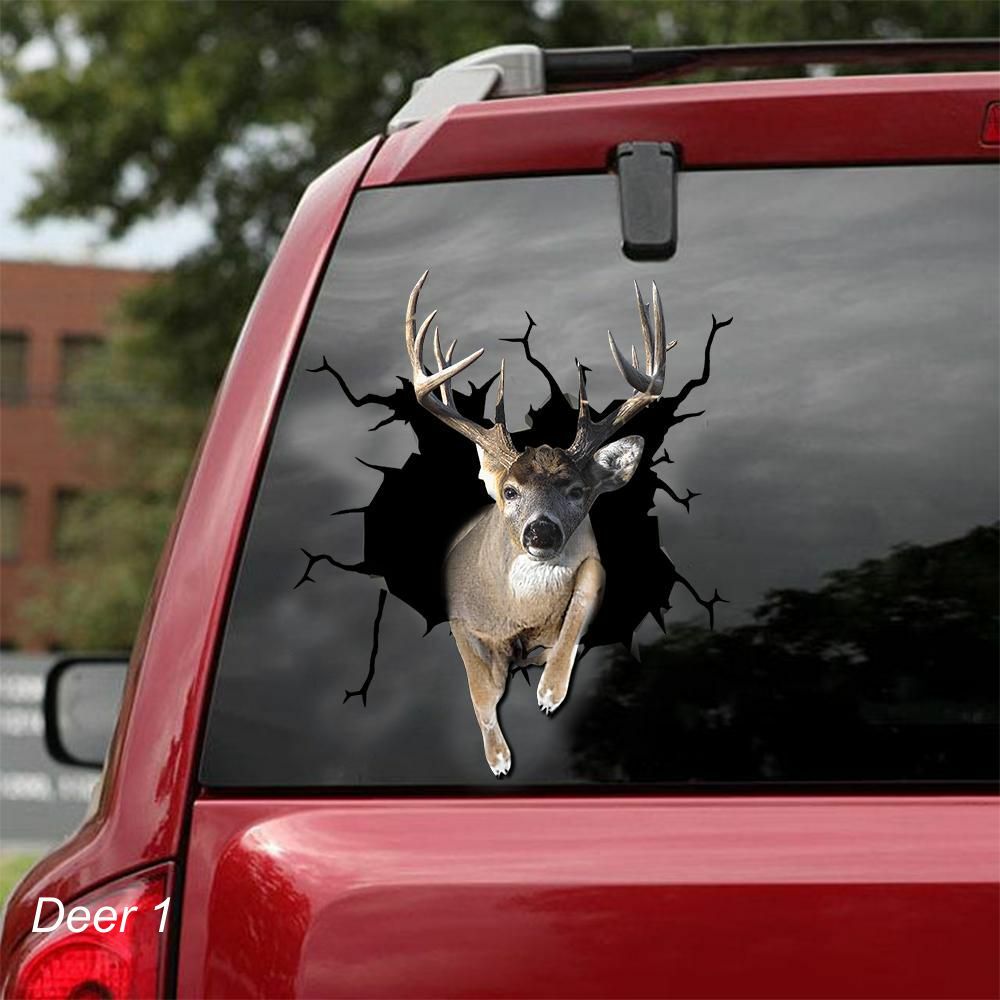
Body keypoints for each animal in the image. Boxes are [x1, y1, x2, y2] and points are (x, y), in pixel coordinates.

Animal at [404, 271, 675, 776]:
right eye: (509, 491)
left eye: (576, 491)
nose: (541, 532)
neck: (520, 614)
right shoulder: (459, 618)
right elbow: (480, 690)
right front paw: (498, 758)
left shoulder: (593, 565)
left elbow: (580, 603)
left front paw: (550, 691)